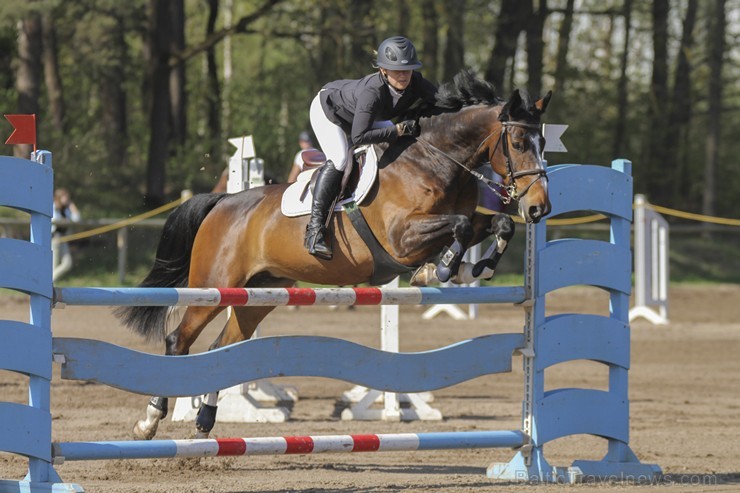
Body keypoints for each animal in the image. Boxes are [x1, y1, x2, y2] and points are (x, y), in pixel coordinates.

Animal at [118, 69, 552, 438]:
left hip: (258, 293)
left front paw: (478, 267)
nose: (538, 208)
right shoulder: (401, 237)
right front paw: (440, 269)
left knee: (219, 349)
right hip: (213, 286)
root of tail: (223, 202)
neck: (434, 161)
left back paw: (206, 419)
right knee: (179, 340)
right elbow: (459, 228)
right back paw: (149, 421)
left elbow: (499, 225)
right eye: (517, 144)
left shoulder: (463, 219)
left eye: (543, 143)